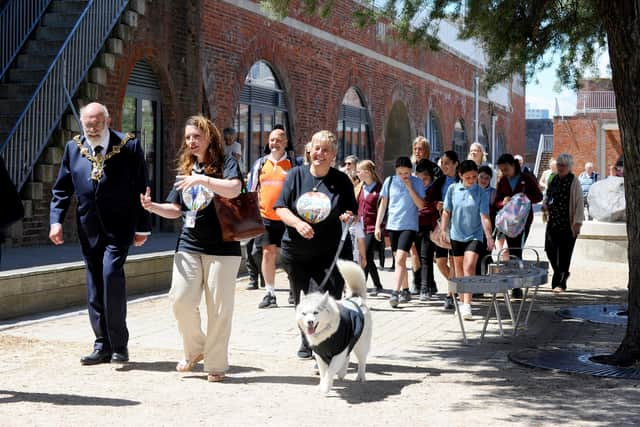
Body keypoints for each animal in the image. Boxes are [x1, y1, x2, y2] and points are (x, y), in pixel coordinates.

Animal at [294, 258, 370, 394]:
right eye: (304, 314)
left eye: (316, 312)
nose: (310, 322)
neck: (326, 333)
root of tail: (355, 298)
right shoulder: (320, 354)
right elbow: (324, 372)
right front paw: (322, 385)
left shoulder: (338, 352)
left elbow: (330, 372)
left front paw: (325, 387)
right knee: (348, 356)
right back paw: (342, 373)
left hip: (361, 344)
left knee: (362, 360)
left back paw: (360, 376)